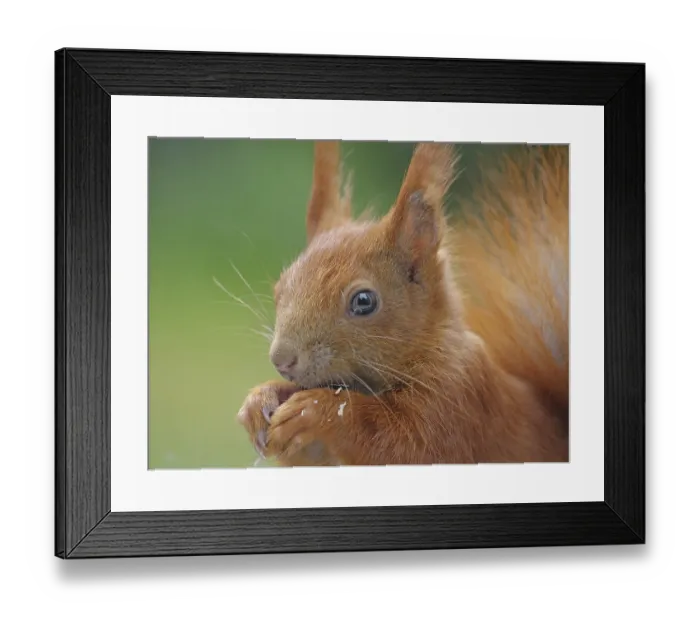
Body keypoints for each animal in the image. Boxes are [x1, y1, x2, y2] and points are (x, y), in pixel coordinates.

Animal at [236, 140, 569, 466]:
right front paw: (261, 401)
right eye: (279, 289)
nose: (281, 359)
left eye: (363, 301)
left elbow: (402, 443)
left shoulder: (457, 402)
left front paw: (319, 411)